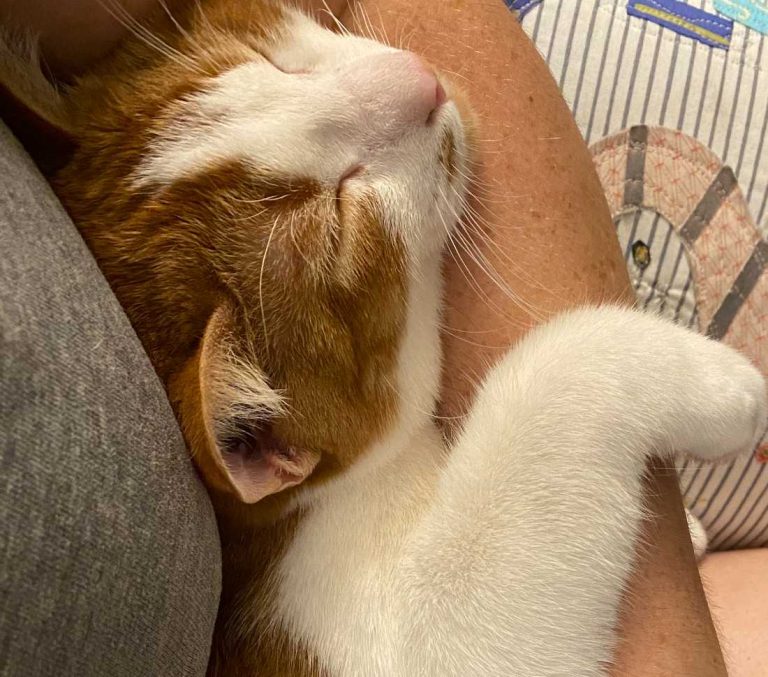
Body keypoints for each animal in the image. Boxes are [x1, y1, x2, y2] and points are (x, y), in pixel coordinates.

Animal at [1, 1, 764, 674]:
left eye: (271, 62)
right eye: (340, 219)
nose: (419, 79)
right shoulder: (404, 645)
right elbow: (554, 369)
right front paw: (726, 388)